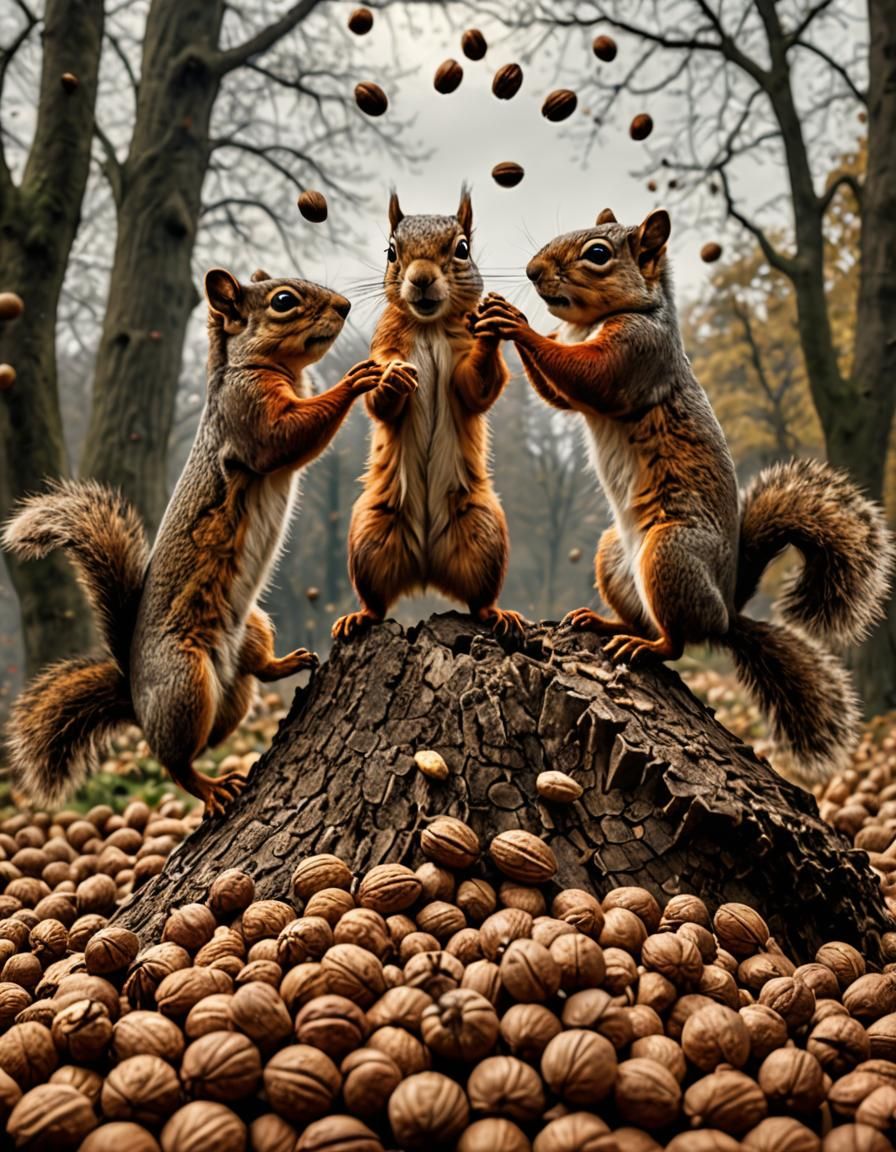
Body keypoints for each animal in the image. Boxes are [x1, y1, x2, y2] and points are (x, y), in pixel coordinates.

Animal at [3, 268, 381, 814]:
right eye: (283, 301)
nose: (346, 307)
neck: (268, 368)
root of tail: (138, 701)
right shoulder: (248, 413)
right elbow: (287, 436)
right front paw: (357, 377)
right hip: (185, 684)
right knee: (175, 762)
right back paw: (211, 787)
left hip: (250, 638)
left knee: (248, 683)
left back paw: (287, 662)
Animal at [332, 187, 524, 641]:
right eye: (390, 252)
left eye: (462, 249)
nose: (420, 279)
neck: (430, 325)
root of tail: (424, 570)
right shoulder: (383, 348)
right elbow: (379, 402)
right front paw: (391, 382)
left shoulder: (464, 374)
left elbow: (476, 390)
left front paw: (490, 330)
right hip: (369, 537)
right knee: (376, 601)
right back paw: (359, 617)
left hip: (485, 534)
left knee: (479, 598)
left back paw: (497, 614)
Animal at [473, 207, 893, 778]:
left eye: (598, 254)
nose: (533, 271)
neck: (606, 317)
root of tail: (725, 611)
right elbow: (561, 393)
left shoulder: (637, 354)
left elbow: (586, 375)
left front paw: (515, 321)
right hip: (614, 555)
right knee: (643, 617)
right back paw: (603, 622)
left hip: (670, 553)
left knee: (675, 642)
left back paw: (642, 646)